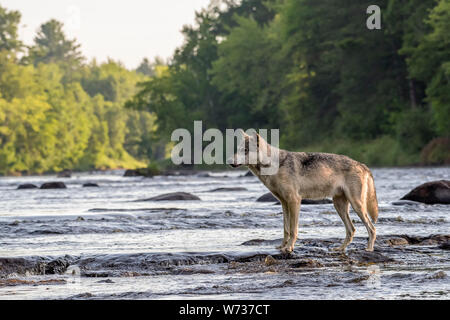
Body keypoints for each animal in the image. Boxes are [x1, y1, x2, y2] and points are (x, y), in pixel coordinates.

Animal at [229, 131, 380, 254]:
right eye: (238, 150)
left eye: (246, 150)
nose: (229, 161)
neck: (274, 166)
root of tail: (363, 165)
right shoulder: (284, 203)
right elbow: (286, 229)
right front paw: (282, 246)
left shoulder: (294, 201)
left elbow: (293, 229)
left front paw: (289, 248)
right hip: (339, 206)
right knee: (352, 230)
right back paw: (340, 249)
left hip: (357, 205)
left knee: (371, 229)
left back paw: (369, 249)